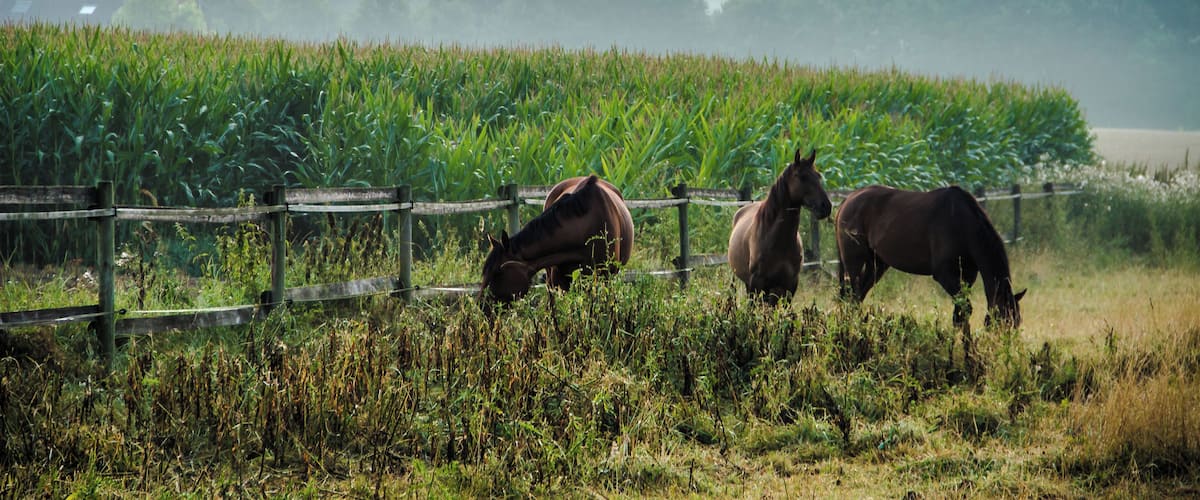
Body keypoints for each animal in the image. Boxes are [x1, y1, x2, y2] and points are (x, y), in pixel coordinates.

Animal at [727, 148, 834, 305]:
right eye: (802, 177)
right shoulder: (756, 283)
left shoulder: (789, 285)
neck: (777, 240)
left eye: (818, 176)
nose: (825, 206)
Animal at [835, 185, 1026, 374]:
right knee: (851, 298)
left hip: (877, 265)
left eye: (1016, 322)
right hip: (854, 263)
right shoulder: (945, 275)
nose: (1001, 351)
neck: (962, 223)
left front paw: (961, 359)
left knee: (857, 298)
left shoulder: (968, 276)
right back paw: (849, 340)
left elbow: (959, 315)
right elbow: (964, 311)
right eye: (1000, 321)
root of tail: (848, 200)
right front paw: (964, 361)